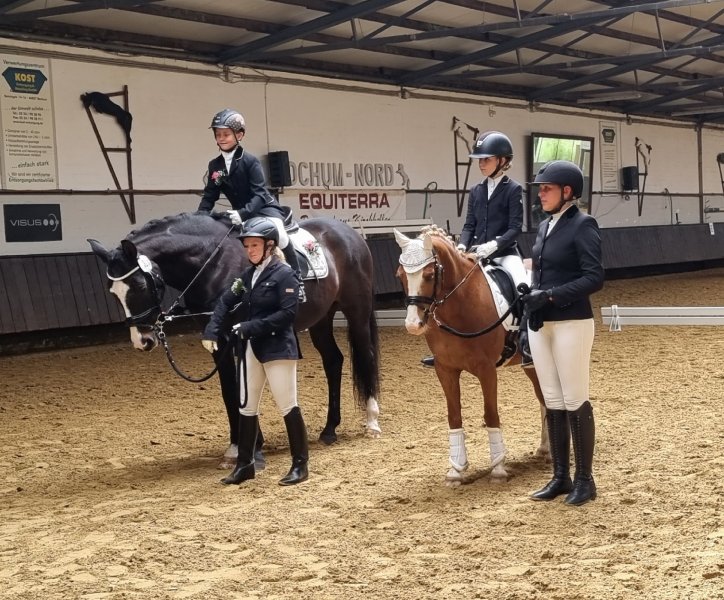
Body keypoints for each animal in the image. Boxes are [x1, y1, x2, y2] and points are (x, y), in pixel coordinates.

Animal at [88, 212, 381, 467]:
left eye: (139, 286)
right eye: (112, 292)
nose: (143, 341)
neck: (212, 263)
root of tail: (349, 234)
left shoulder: (239, 335)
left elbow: (243, 386)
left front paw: (253, 447)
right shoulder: (217, 341)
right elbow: (229, 389)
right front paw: (236, 446)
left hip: (356, 310)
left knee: (365, 355)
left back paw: (372, 422)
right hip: (321, 318)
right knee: (333, 361)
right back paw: (330, 429)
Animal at [394, 225, 548, 485]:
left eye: (429, 275)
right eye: (400, 275)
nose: (413, 325)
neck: (459, 306)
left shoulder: (486, 370)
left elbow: (491, 414)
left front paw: (498, 469)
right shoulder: (445, 369)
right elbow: (454, 416)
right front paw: (456, 470)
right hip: (532, 365)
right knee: (544, 398)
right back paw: (545, 448)